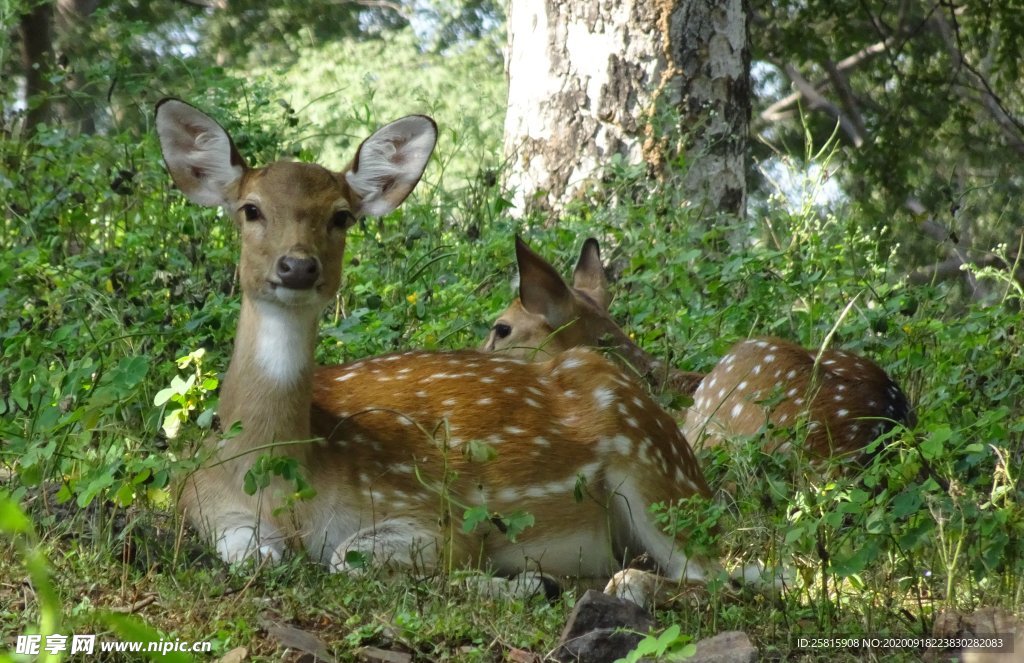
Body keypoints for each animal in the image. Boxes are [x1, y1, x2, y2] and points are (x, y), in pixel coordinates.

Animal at [155, 97, 737, 606]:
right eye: (249, 210)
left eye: (341, 216)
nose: (297, 266)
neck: (278, 481)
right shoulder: (198, 503)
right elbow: (254, 556)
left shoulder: (432, 512)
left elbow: (348, 558)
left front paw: (524, 583)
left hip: (654, 474)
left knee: (731, 575)